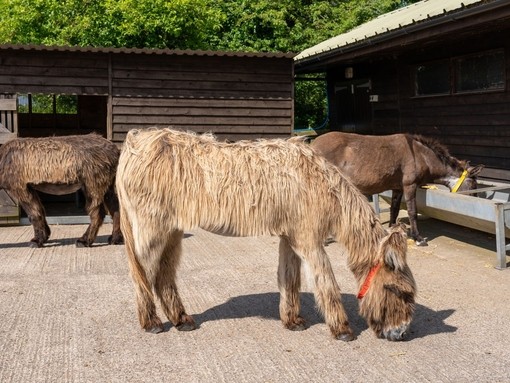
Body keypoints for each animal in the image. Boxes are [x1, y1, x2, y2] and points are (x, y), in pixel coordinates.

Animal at [310, 132, 482, 246]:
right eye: (473, 185)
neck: (422, 156)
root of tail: (312, 145)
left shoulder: (397, 188)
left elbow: (395, 209)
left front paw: (391, 230)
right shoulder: (409, 186)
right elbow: (412, 212)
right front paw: (418, 238)